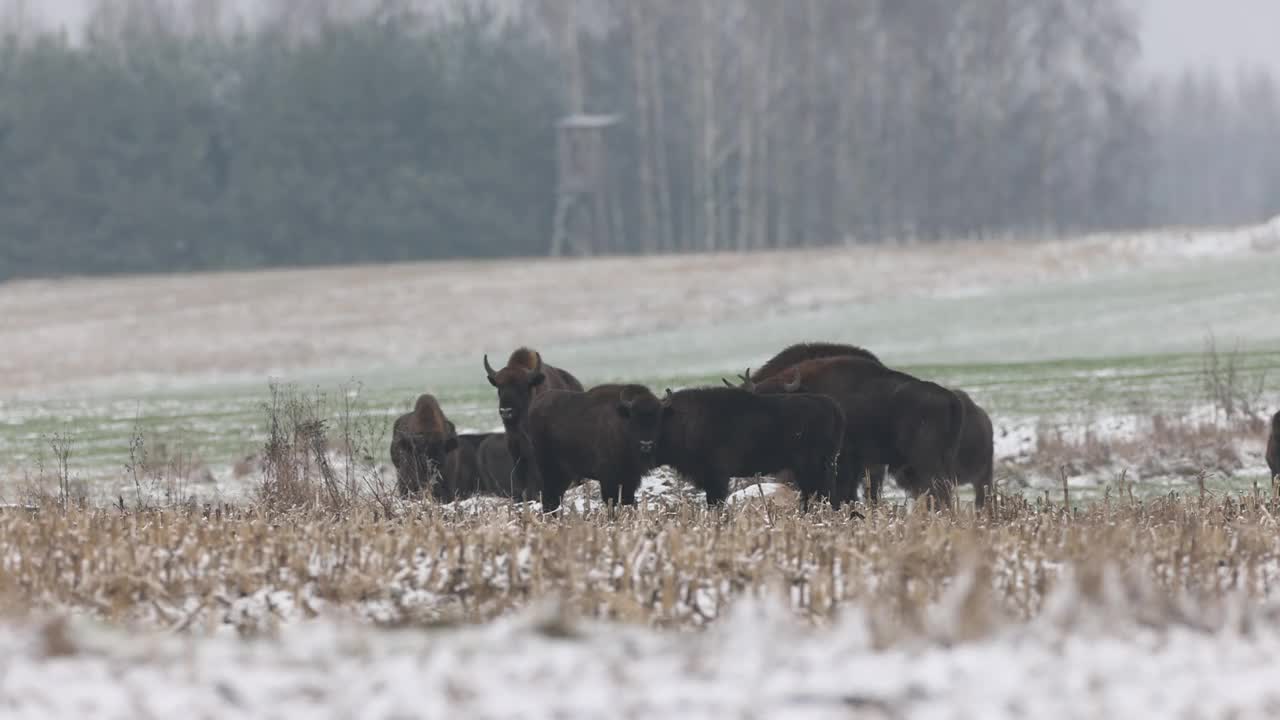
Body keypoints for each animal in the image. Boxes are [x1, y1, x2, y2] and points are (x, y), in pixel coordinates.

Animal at [519, 381, 665, 509]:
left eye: (657, 419)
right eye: (634, 419)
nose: (646, 444)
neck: (621, 421)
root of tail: (535, 406)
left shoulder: (630, 478)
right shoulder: (608, 478)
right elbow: (611, 500)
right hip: (549, 469)